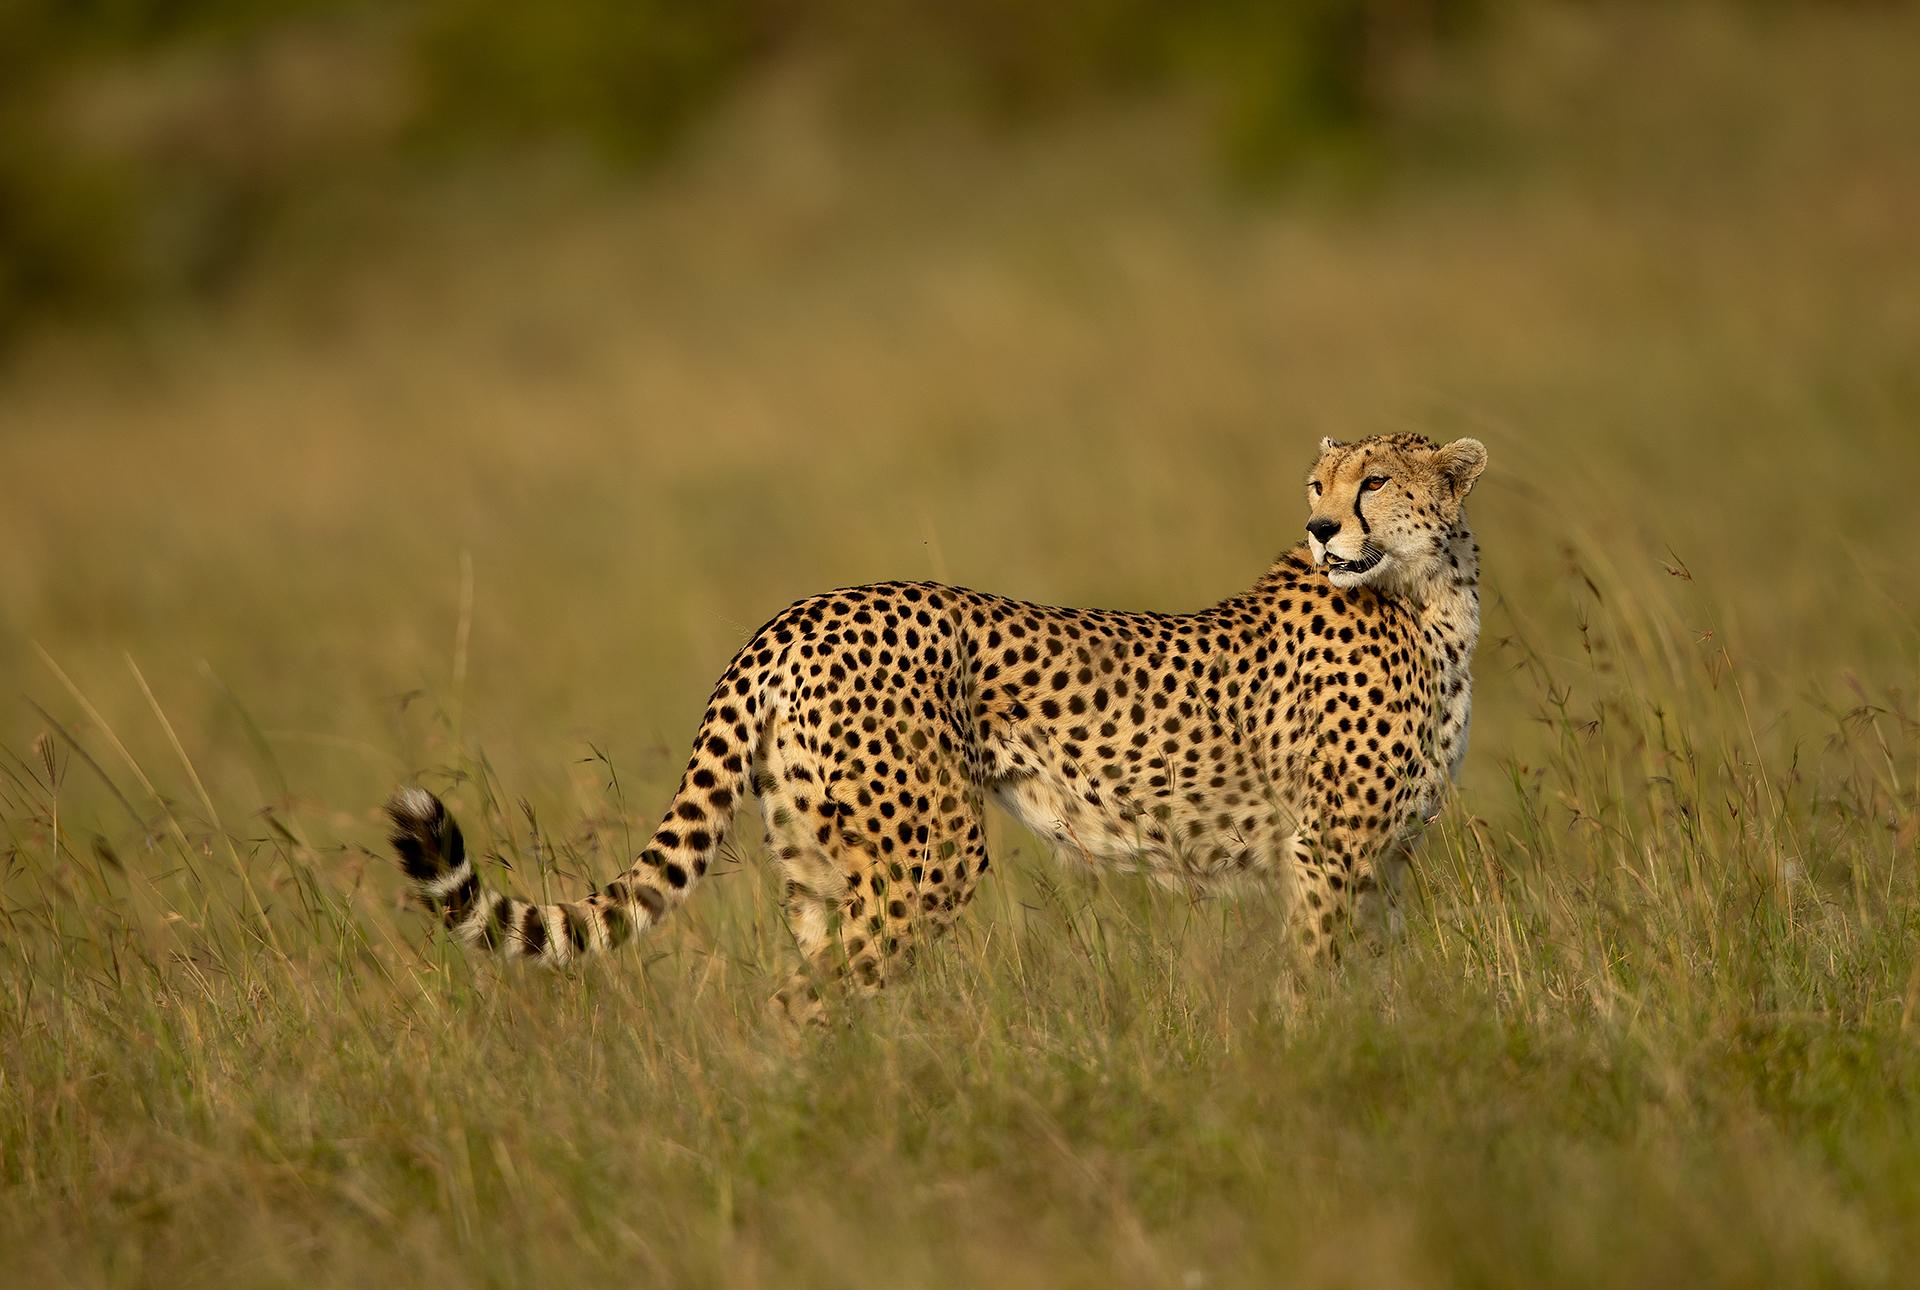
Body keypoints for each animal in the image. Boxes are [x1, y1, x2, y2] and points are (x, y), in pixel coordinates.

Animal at [388, 432, 1487, 1022]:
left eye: (1373, 481)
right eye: (1320, 484)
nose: (1321, 528)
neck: (1431, 594)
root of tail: (795, 614)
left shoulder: (1383, 861)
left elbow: (1372, 976)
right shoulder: (1330, 851)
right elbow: (1316, 973)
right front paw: (1310, 1058)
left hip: (818, 858)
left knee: (815, 981)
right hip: (931, 851)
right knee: (806, 1000)